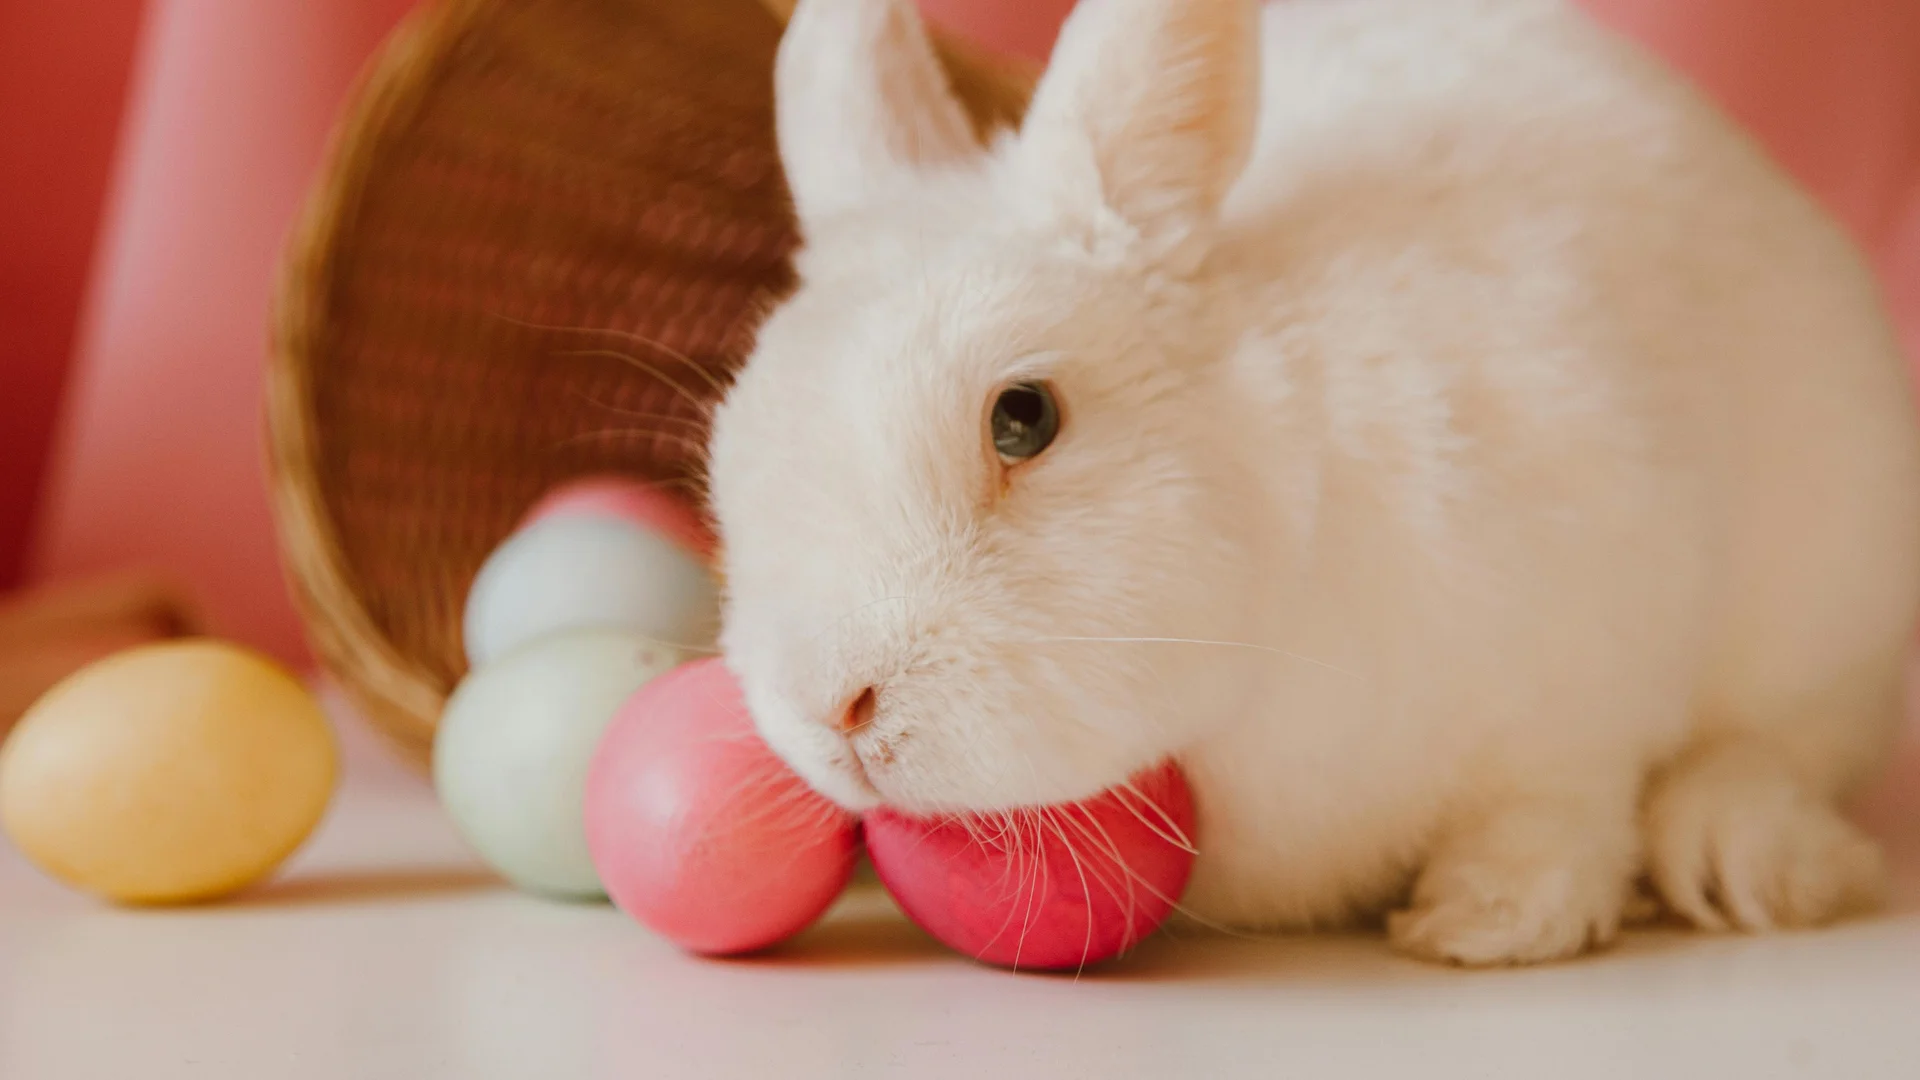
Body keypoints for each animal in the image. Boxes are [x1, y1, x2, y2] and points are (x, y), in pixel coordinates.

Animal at [703, 0, 1920, 965]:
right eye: (730, 449)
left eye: (1024, 418)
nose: (831, 708)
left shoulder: (1590, 669)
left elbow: (1558, 808)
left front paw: (1487, 922)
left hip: (1834, 604)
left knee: (1770, 751)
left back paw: (1747, 860)